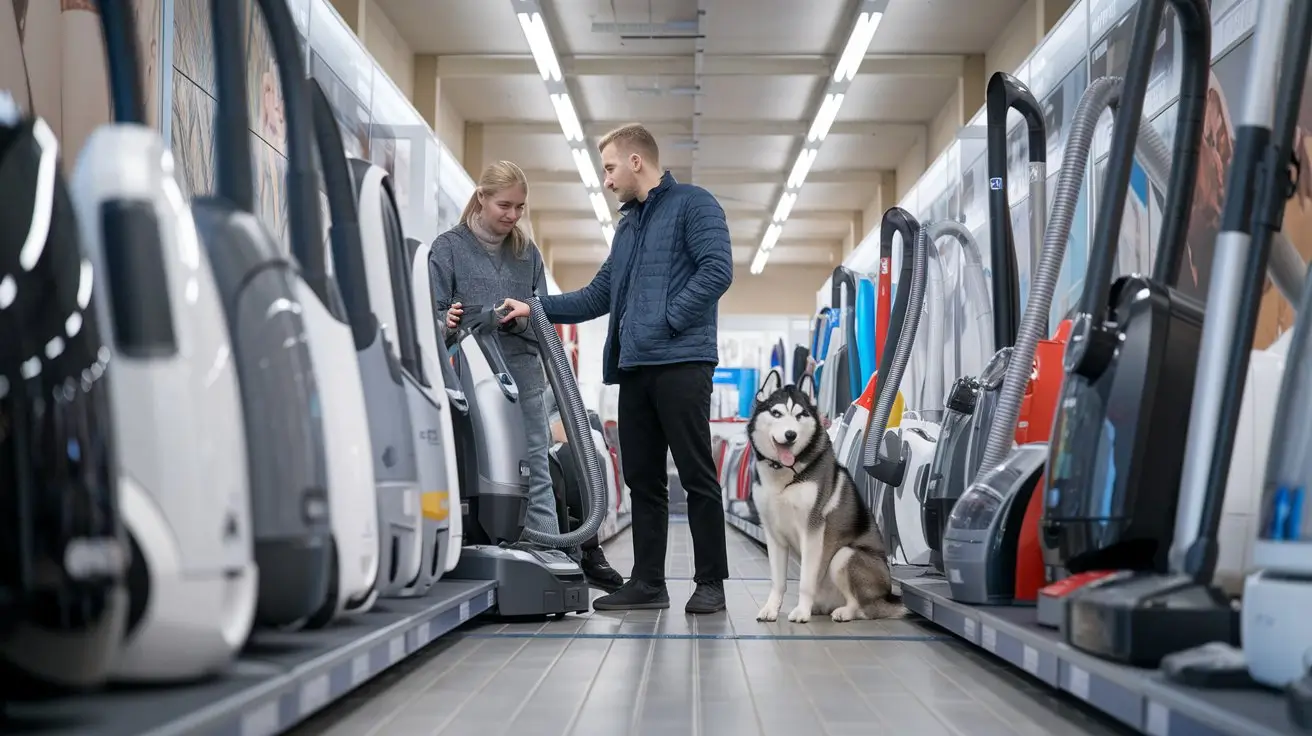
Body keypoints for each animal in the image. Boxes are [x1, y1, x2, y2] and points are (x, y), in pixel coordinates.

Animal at [750, 369, 902, 621]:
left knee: (863, 607)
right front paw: (771, 609)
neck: (785, 475)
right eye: (776, 413)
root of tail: (887, 597)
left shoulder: (813, 531)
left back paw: (844, 612)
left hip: (845, 555)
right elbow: (778, 581)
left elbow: (805, 581)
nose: (790, 435)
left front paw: (801, 612)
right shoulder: (773, 534)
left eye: (800, 415)